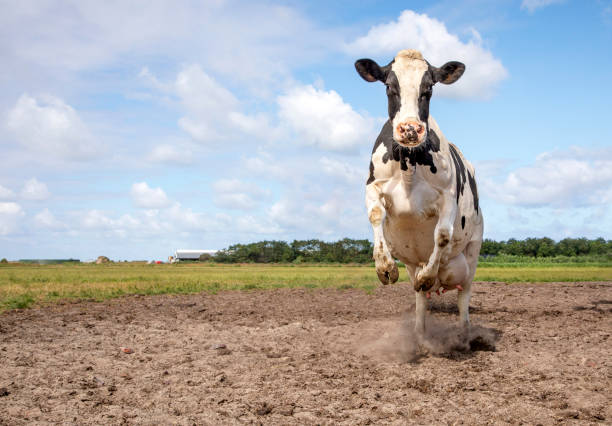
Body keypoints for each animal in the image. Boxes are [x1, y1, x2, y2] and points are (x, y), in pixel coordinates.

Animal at [354, 48, 482, 338]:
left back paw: (464, 334)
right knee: (421, 300)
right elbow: (375, 215)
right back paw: (420, 335)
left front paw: (427, 276)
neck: (409, 164)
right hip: (413, 263)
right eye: (389, 86)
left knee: (463, 297)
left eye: (429, 88)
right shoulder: (373, 185)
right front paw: (384, 266)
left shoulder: (447, 196)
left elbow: (442, 235)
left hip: (472, 251)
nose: (410, 129)